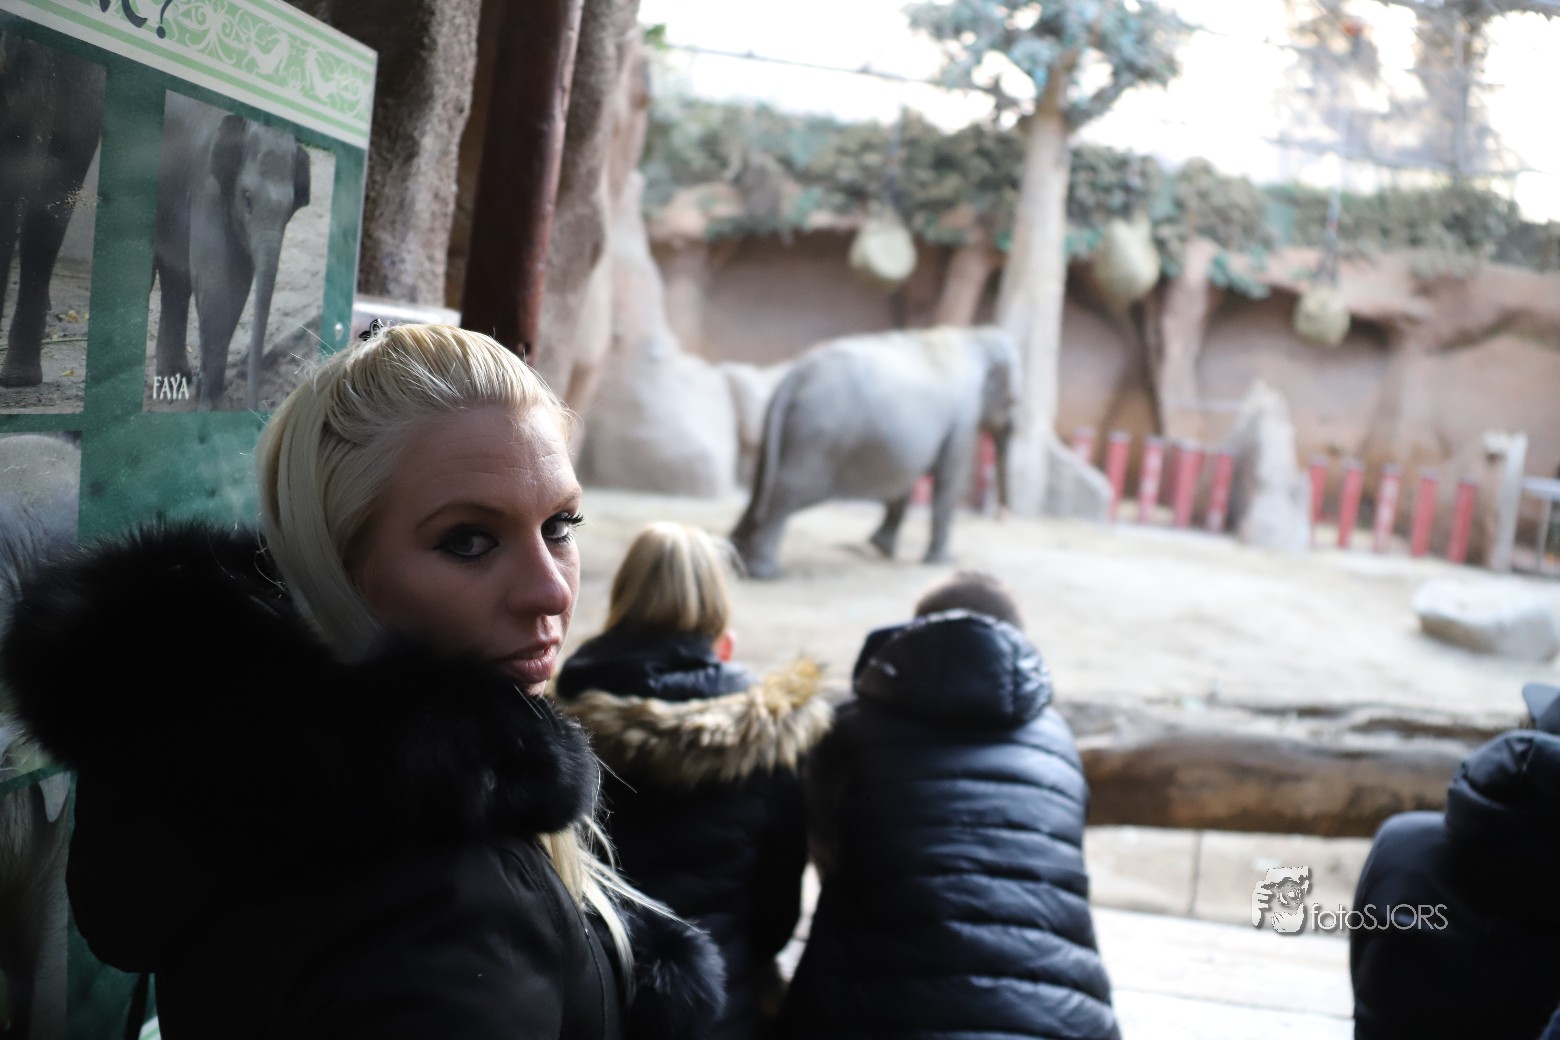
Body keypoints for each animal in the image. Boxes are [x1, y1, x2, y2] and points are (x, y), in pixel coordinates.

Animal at [151, 93, 310, 411]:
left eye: (290, 208)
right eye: (247, 197)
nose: (258, 407)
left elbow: (234, 285)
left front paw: (205, 391)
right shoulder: (207, 187)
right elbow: (217, 284)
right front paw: (210, 405)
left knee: (176, 279)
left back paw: (174, 381)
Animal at [730, 325, 1018, 579]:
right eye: (1013, 401)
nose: (1004, 517)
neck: (974, 338)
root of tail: (793, 378)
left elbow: (905, 482)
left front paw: (880, 547)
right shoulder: (963, 417)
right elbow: (947, 481)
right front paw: (943, 561)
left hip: (781, 434)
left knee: (760, 489)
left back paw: (735, 559)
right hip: (816, 438)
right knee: (786, 493)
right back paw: (764, 573)